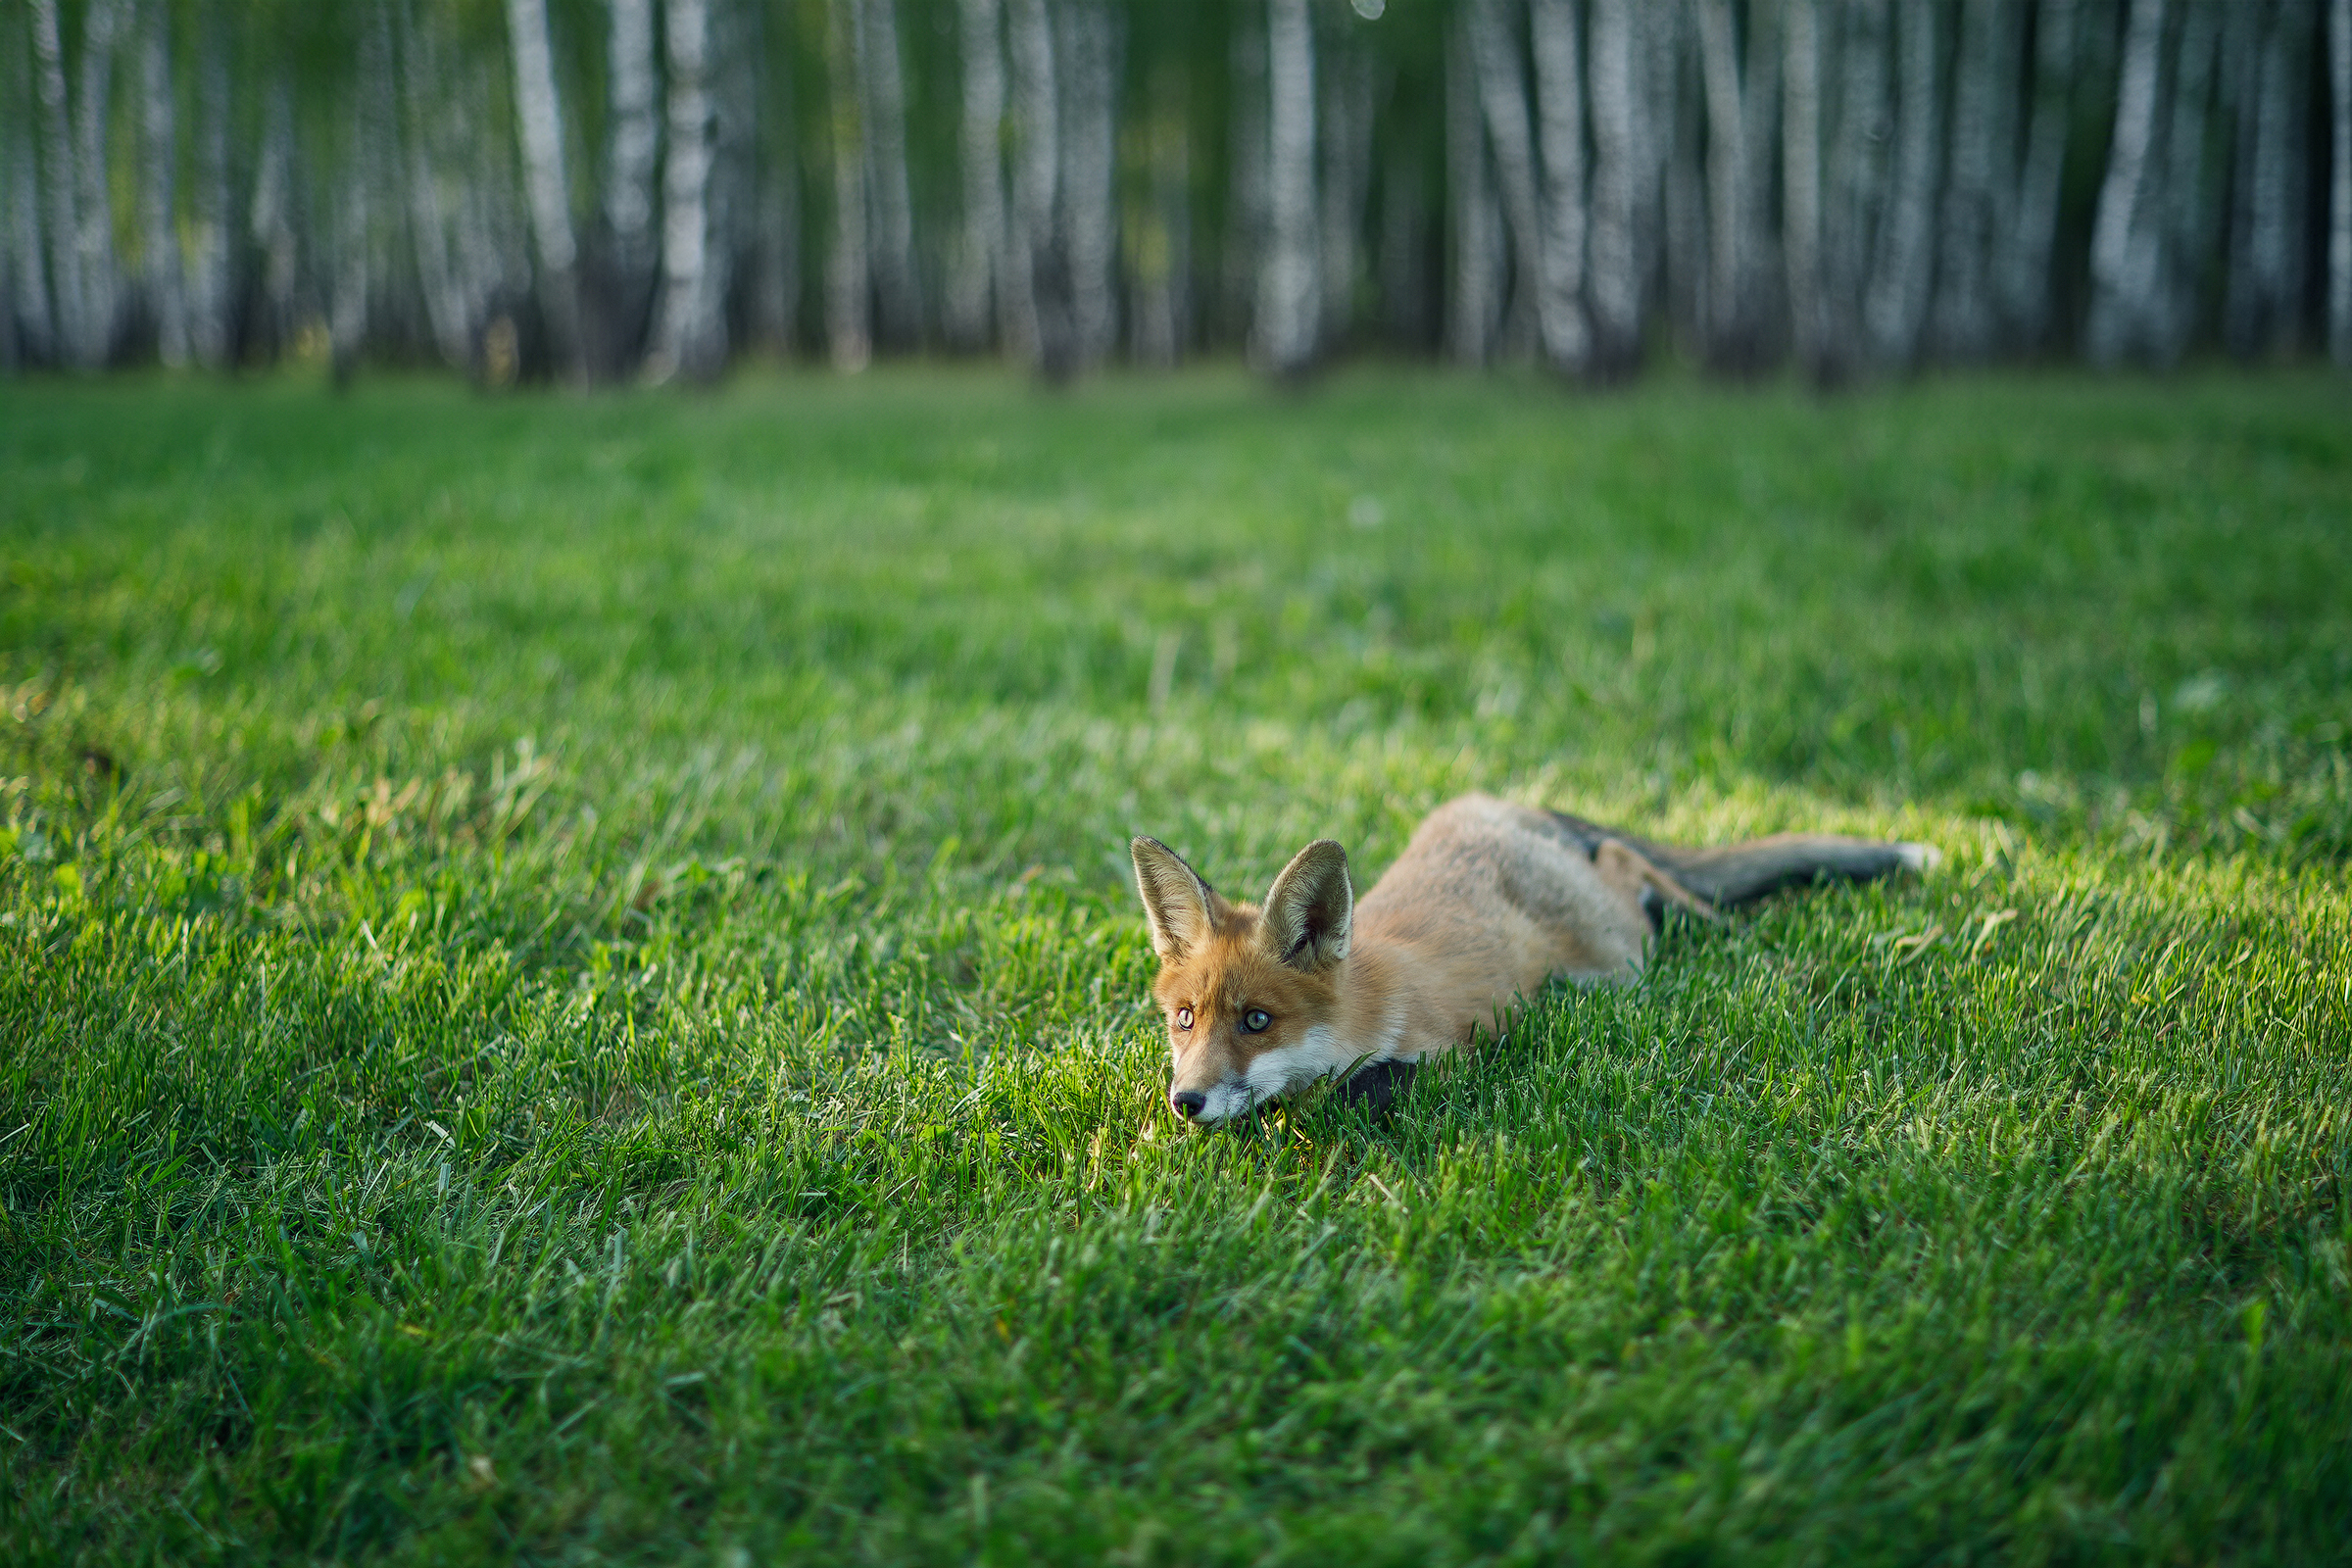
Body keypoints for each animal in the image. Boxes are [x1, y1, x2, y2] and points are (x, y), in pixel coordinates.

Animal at [1129, 804, 1937, 1123]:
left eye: (1257, 1021)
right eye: (1185, 1019)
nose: (1186, 1102)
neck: (1364, 1005)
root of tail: (1497, 804)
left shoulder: (1450, 1051)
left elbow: (1361, 1089)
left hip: (1614, 951)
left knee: (1631, 868)